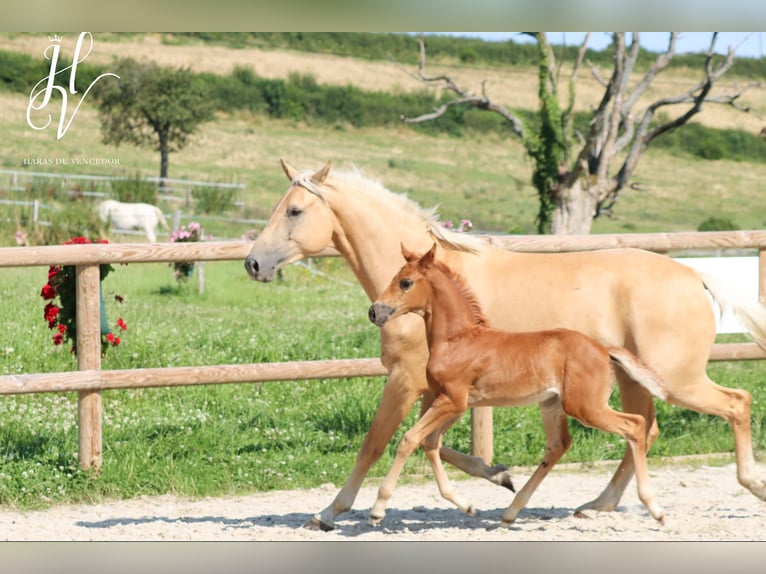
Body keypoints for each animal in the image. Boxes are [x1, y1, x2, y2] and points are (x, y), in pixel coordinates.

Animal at [368, 245, 668, 528]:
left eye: (405, 282)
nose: (374, 311)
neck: (458, 340)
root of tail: (604, 349)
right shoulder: (457, 403)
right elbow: (430, 443)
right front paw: (466, 504)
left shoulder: (452, 400)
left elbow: (409, 439)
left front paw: (378, 509)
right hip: (552, 404)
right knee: (559, 445)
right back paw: (511, 512)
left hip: (585, 406)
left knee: (635, 425)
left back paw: (655, 509)